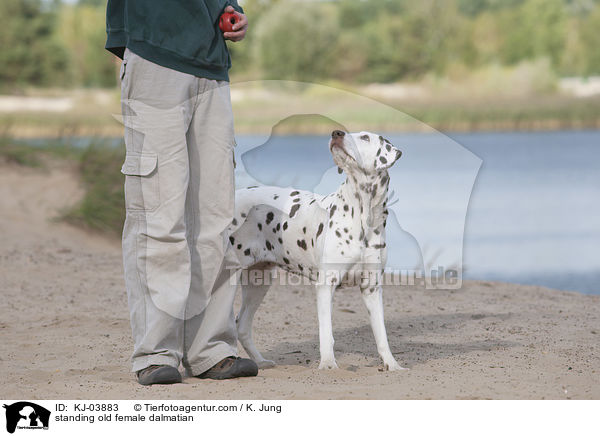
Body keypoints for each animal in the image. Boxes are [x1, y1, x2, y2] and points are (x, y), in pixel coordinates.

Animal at [227, 130, 406, 372]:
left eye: (365, 137)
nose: (336, 133)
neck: (361, 215)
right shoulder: (325, 285)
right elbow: (326, 333)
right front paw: (328, 364)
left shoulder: (371, 288)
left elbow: (382, 335)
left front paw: (392, 364)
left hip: (259, 281)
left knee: (242, 325)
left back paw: (260, 361)